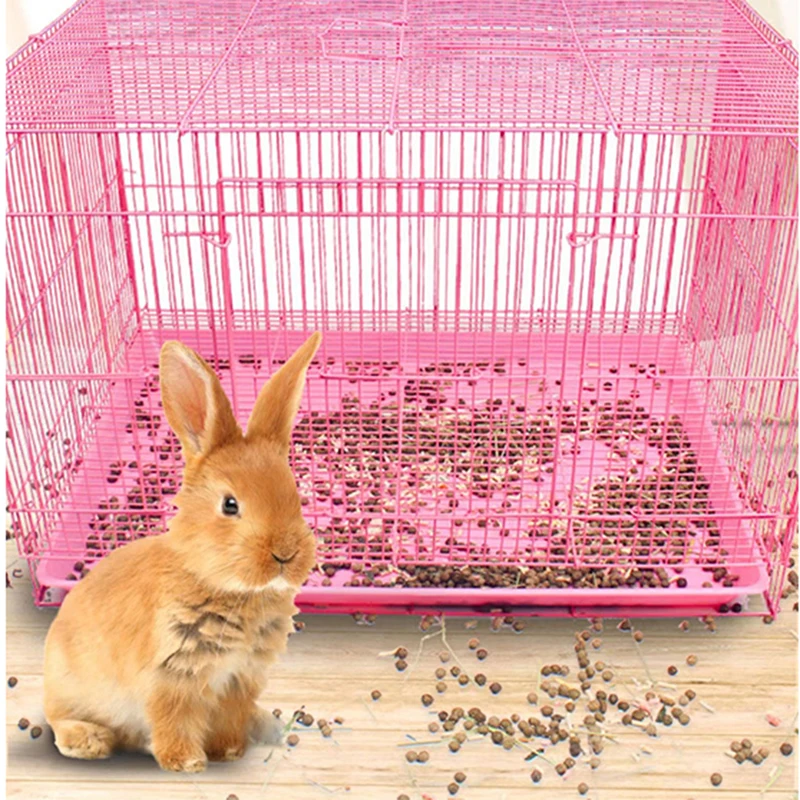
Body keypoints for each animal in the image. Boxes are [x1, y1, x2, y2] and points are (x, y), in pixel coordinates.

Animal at [43, 332, 322, 772]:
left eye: (295, 495)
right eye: (230, 505)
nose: (285, 554)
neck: (222, 584)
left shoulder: (238, 680)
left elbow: (228, 718)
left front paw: (229, 751)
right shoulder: (172, 676)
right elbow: (174, 719)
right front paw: (187, 763)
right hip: (73, 689)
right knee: (59, 720)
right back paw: (89, 741)